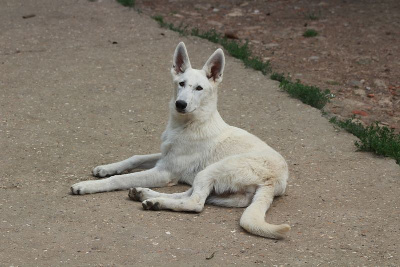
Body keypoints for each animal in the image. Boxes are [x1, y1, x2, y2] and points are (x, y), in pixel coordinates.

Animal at [71, 43, 290, 240]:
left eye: (199, 88)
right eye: (181, 83)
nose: (180, 104)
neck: (188, 124)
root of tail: (275, 182)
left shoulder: (164, 172)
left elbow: (119, 179)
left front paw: (87, 186)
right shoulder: (164, 157)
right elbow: (135, 157)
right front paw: (106, 168)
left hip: (211, 170)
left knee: (195, 203)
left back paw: (155, 201)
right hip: (213, 184)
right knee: (188, 195)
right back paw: (147, 196)